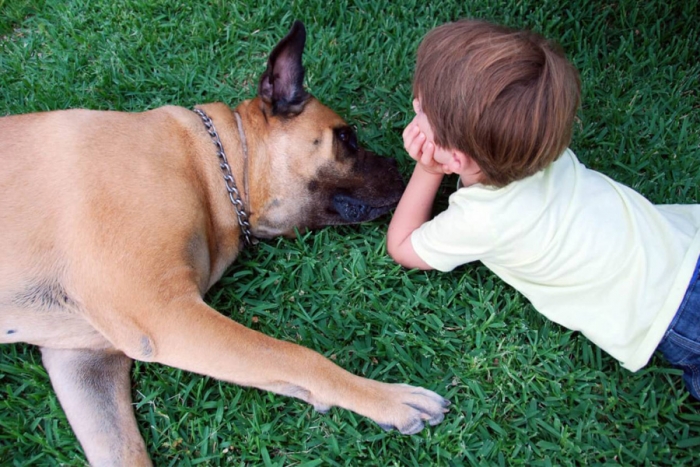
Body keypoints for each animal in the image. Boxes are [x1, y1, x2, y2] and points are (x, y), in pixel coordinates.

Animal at [0, 21, 448, 464]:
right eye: (347, 138)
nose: (399, 168)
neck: (212, 164)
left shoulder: (85, 363)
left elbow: (123, 448)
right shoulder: (165, 312)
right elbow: (295, 355)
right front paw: (388, 398)